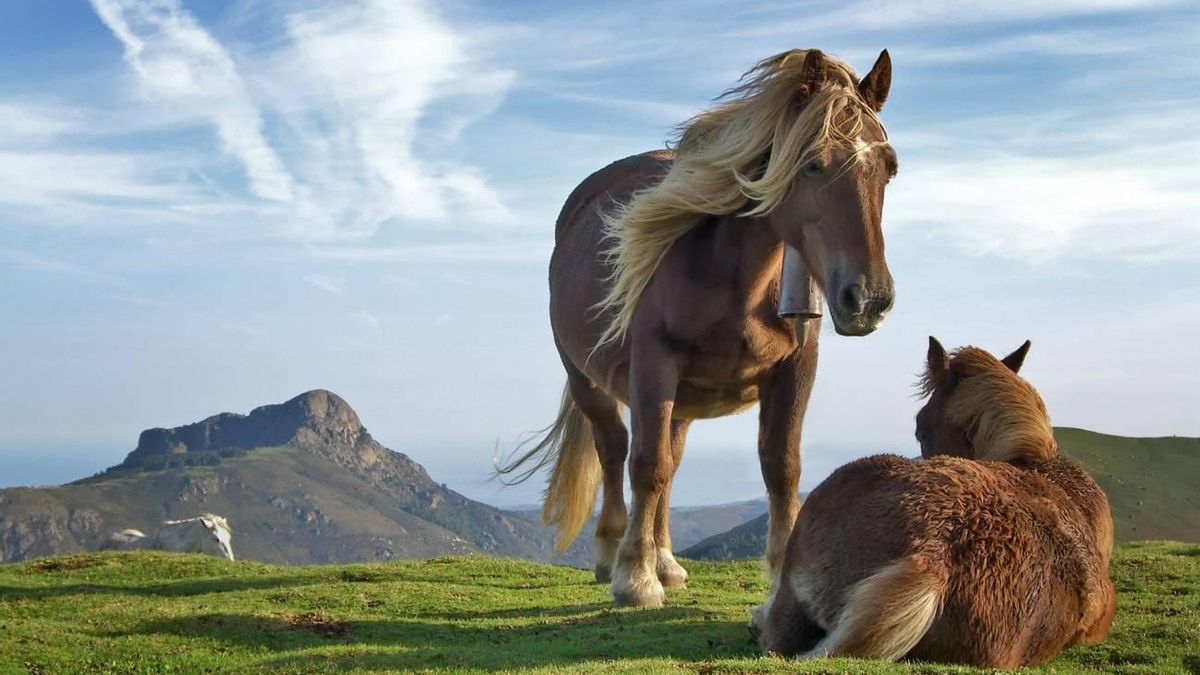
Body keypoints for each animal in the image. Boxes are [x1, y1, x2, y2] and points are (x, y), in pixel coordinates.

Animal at [498, 48, 898, 607]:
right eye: (813, 164)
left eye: (889, 168)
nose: (868, 299)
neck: (734, 278)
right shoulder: (653, 366)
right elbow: (645, 464)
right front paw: (635, 578)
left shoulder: (796, 368)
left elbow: (781, 467)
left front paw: (779, 579)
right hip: (588, 380)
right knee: (615, 449)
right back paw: (612, 552)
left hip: (685, 398)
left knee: (672, 459)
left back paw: (666, 559)